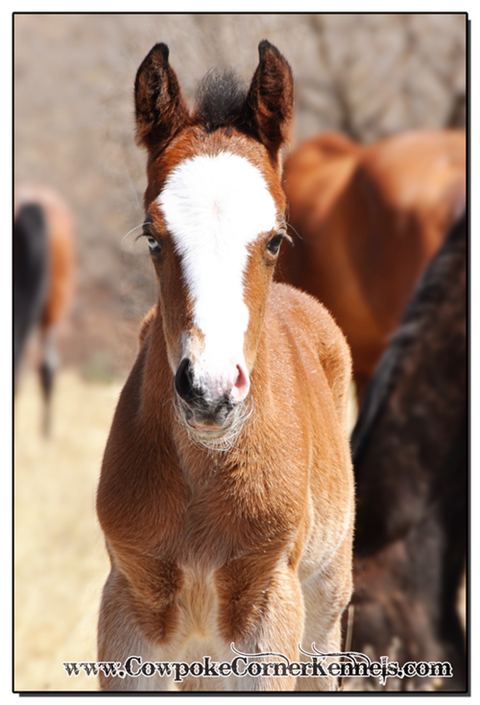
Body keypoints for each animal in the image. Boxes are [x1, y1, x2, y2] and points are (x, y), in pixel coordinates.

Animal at [96, 41, 355, 692]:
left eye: (276, 239)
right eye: (153, 236)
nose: (209, 392)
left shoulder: (269, 605)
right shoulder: (127, 608)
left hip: (325, 604)